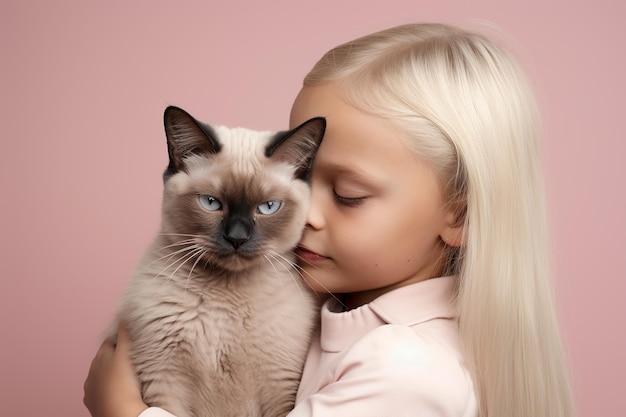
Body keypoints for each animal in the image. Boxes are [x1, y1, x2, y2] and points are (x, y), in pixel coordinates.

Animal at [111, 107, 324, 416]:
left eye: (268, 207)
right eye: (211, 203)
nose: (237, 238)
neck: (225, 306)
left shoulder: (280, 387)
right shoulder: (165, 382)